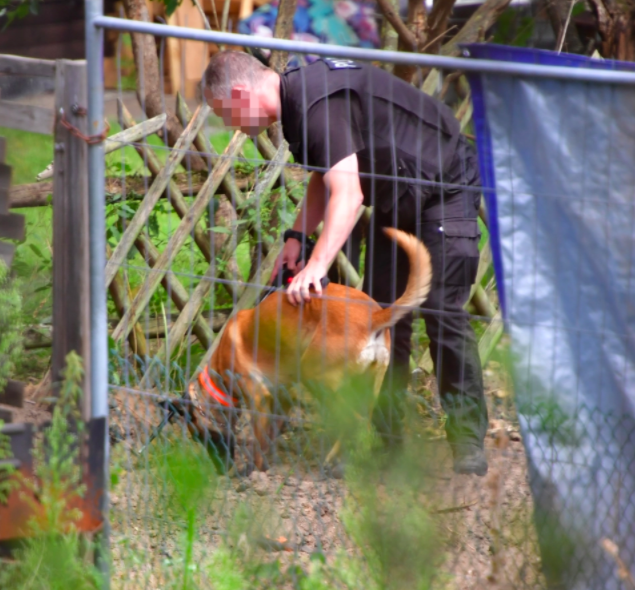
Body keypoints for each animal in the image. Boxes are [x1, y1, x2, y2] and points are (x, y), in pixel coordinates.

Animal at [184, 229, 432, 474]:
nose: (221, 471)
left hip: (317, 378)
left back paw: (332, 460)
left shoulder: (258, 398)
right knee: (365, 420)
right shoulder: (282, 397)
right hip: (369, 385)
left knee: (354, 420)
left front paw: (253, 471)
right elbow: (269, 434)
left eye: (199, 436)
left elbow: (258, 441)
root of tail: (375, 316)